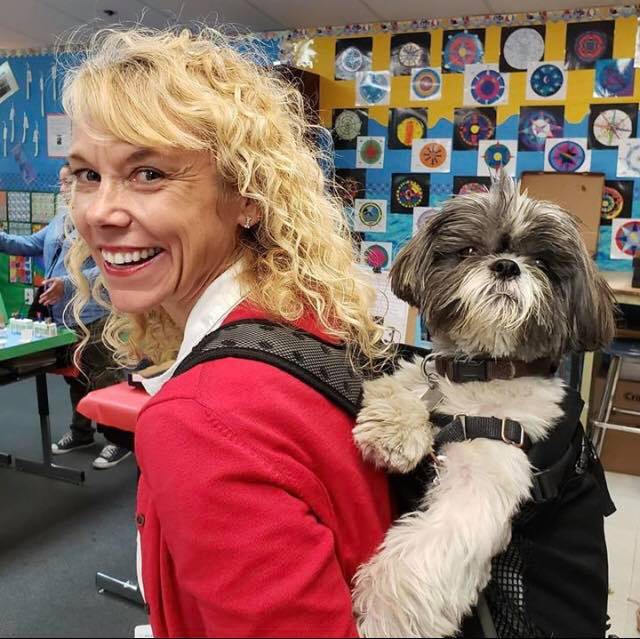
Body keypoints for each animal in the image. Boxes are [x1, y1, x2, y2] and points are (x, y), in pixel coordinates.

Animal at [352, 175, 616, 639]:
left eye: (542, 262)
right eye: (472, 251)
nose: (507, 265)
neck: (485, 370)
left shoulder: (489, 473)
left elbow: (419, 560)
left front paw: (382, 618)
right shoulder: (432, 377)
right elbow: (406, 381)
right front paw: (394, 432)